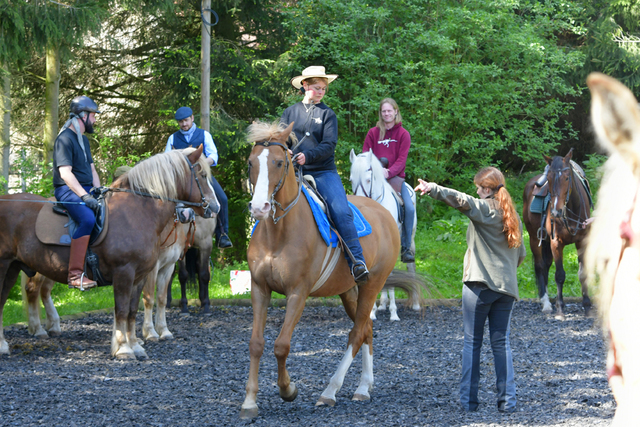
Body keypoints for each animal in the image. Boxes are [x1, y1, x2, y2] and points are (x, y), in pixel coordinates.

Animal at [0, 145, 215, 360]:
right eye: (203, 175)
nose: (215, 207)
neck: (137, 212)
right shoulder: (124, 273)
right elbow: (122, 310)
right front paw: (123, 348)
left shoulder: (139, 276)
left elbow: (132, 310)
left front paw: (135, 346)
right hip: (9, 266)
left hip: (13, 268)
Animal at [350, 148, 420, 320]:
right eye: (351, 179)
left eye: (369, 179)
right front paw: (373, 310)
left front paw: (394, 312)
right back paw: (382, 304)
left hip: (410, 240)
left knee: (411, 266)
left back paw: (415, 303)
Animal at [524, 149, 592, 320]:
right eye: (548, 179)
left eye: (567, 177)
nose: (555, 212)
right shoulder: (556, 243)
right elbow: (560, 275)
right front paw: (560, 309)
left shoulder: (582, 241)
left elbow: (583, 274)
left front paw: (587, 306)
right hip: (534, 238)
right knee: (540, 265)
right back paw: (546, 303)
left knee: (546, 264)